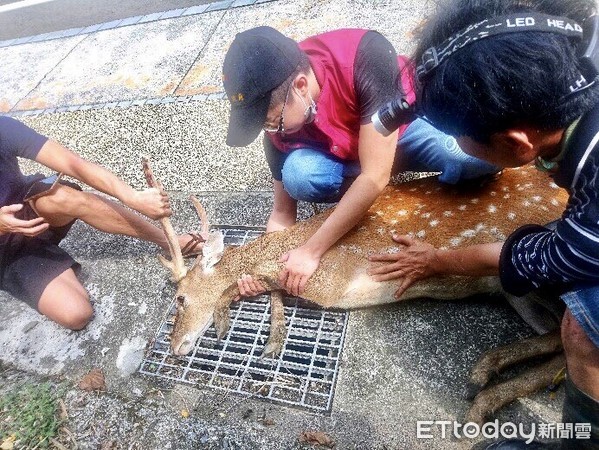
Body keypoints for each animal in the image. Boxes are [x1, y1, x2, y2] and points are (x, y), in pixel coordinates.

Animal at [142, 160, 572, 424]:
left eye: (180, 297)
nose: (174, 347)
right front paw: (273, 339)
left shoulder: (331, 282)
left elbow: (252, 287)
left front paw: (230, 324)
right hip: (515, 291)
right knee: (559, 342)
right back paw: (483, 390)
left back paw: (480, 385)